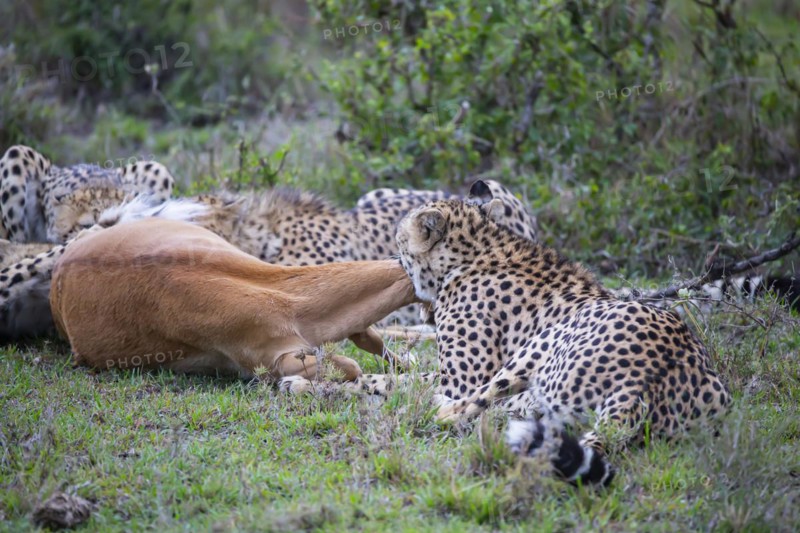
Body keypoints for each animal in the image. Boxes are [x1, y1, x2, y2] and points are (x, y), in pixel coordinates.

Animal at [283, 198, 731, 486]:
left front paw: (311, 383)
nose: (393, 262)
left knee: (453, 413)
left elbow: (399, 384)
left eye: (398, 241)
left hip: (542, 346)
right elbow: (400, 376)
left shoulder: (458, 380)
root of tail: (658, 368)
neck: (476, 253)